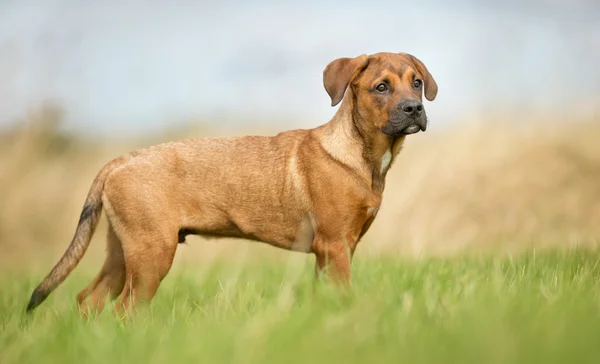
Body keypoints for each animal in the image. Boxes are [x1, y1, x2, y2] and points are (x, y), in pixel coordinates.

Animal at [25, 52, 436, 316]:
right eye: (381, 87)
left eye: (417, 83)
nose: (415, 109)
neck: (363, 156)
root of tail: (118, 162)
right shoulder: (334, 246)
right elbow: (345, 293)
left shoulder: (332, 252)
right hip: (151, 255)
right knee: (124, 310)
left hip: (122, 252)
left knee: (89, 301)